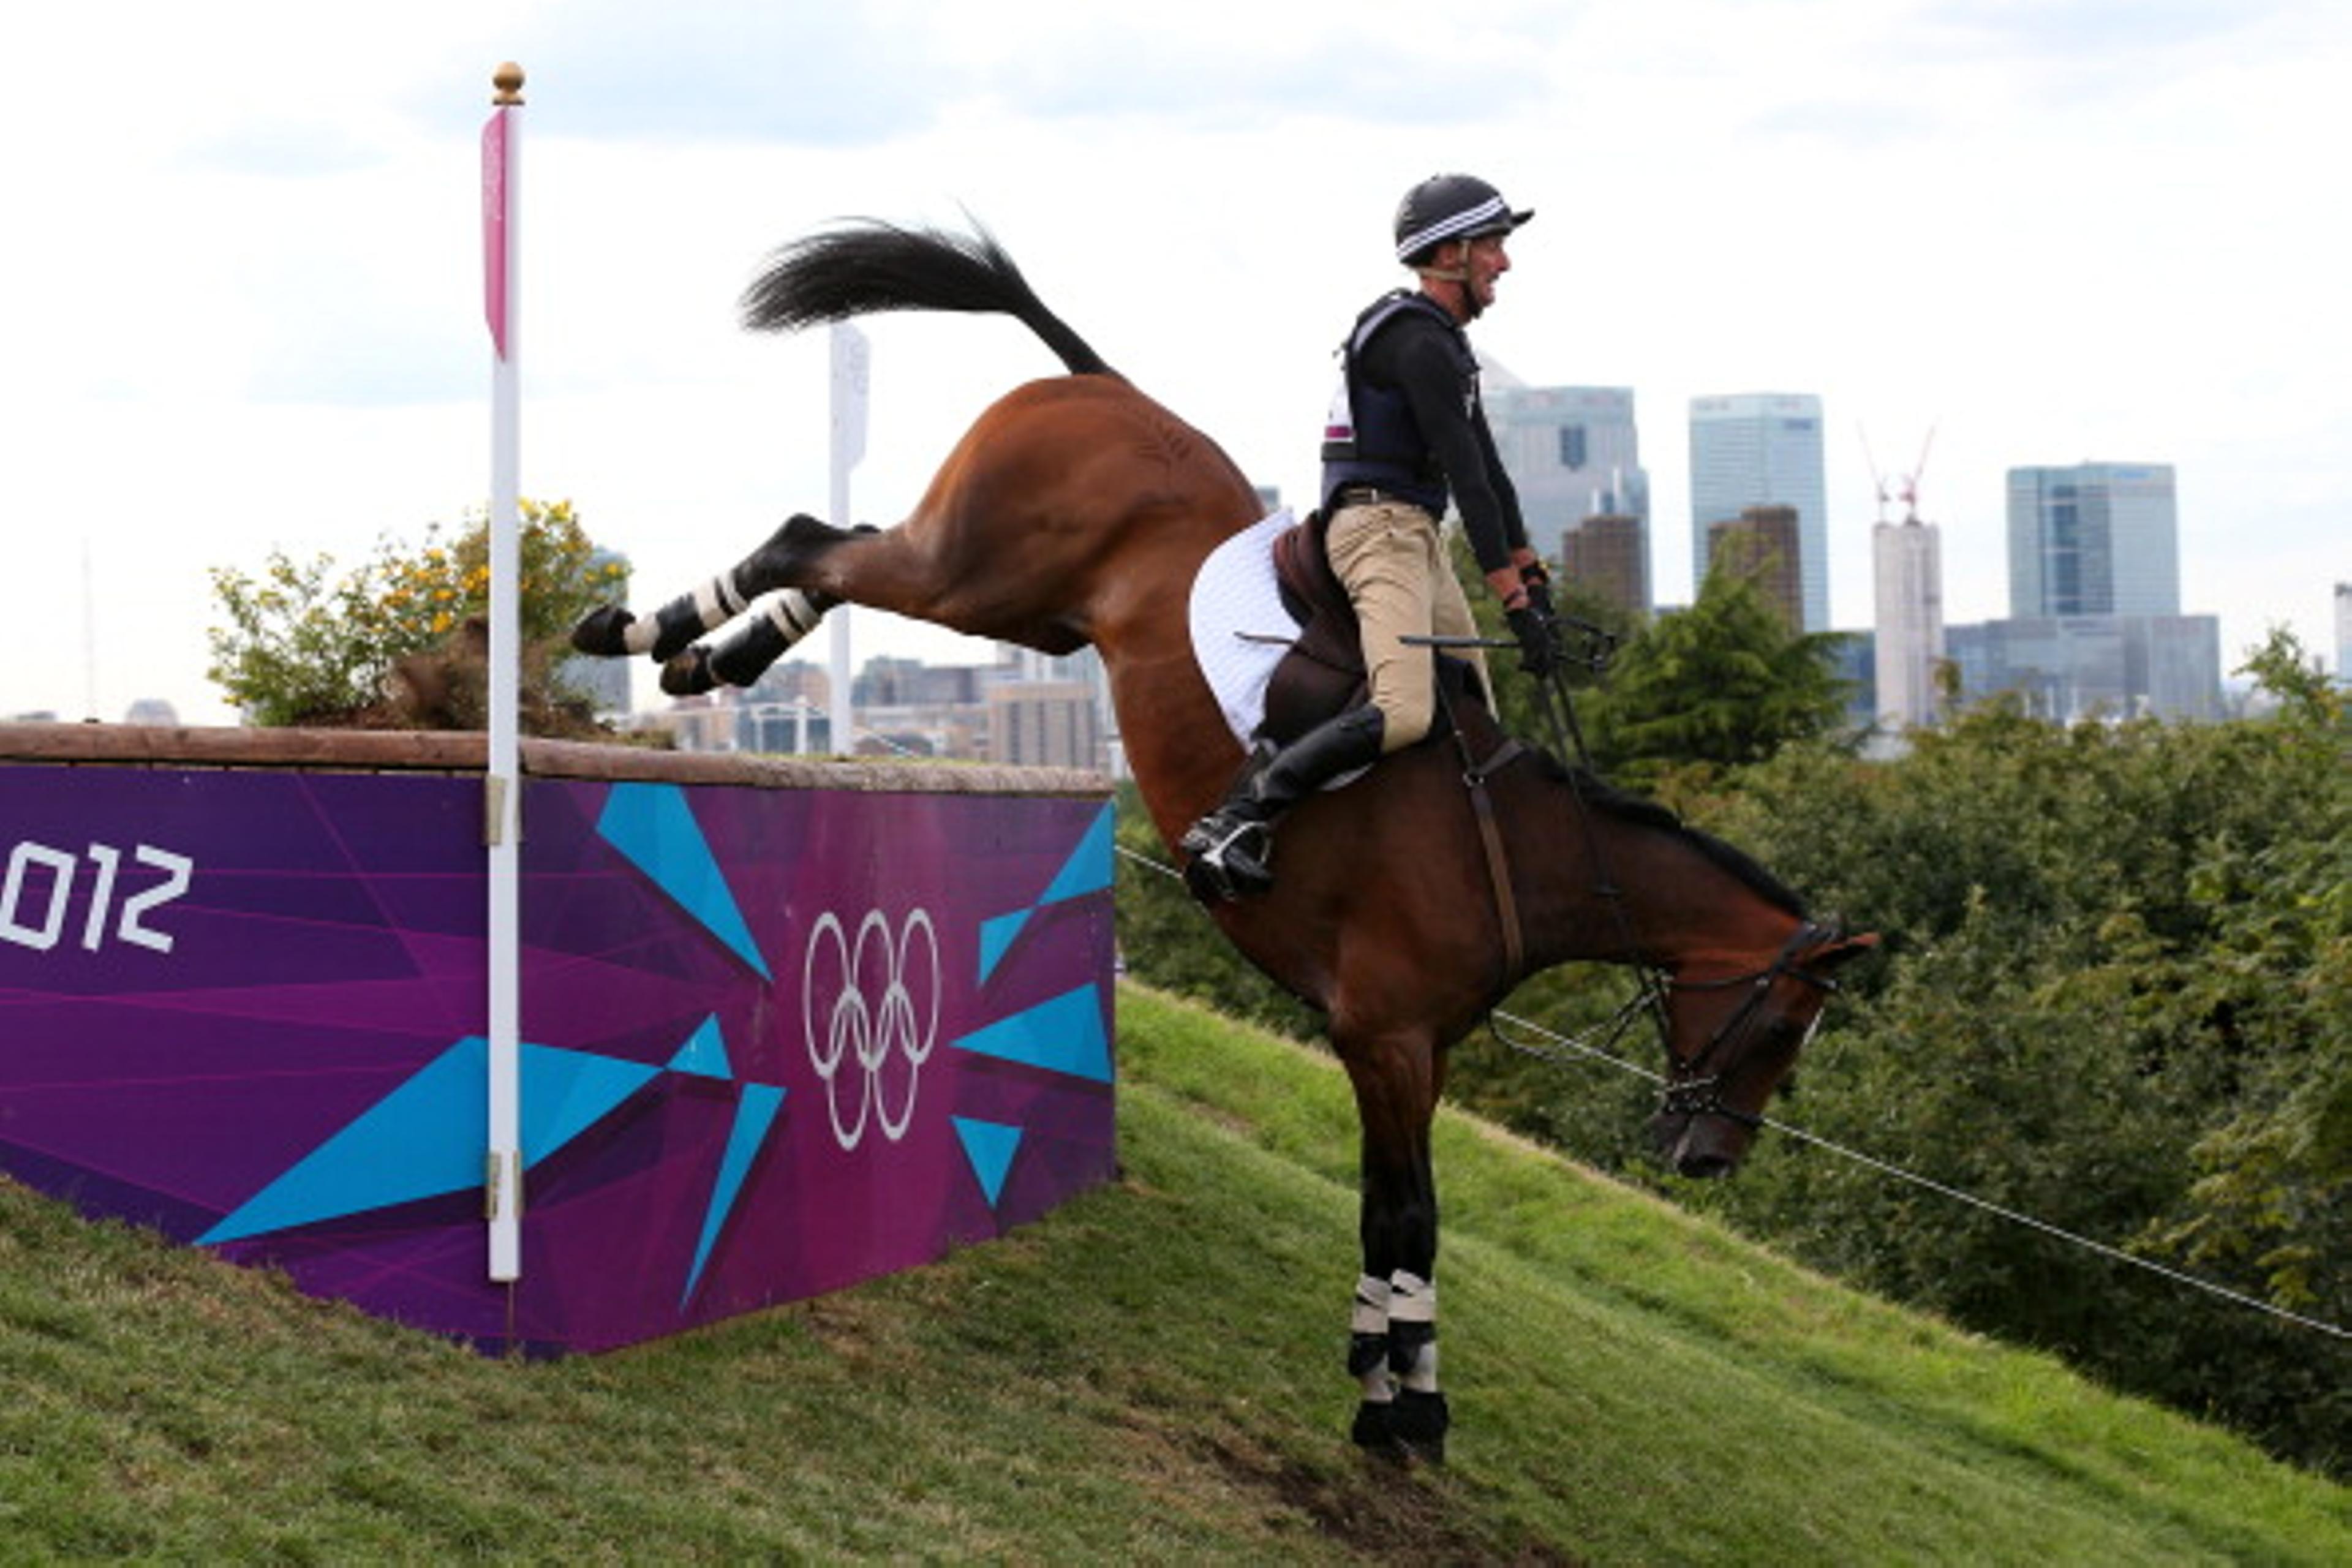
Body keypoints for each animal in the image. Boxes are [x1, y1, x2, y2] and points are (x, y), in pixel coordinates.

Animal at [578, 223, 1882, 1476]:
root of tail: (1102, 385)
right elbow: (1411, 1220)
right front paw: (1407, 1408)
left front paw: (1385, 1381)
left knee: (840, 548)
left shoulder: (1412, 1053)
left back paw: (701, 660)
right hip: (974, 572)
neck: (1518, 848)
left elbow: (1388, 1217)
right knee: (818, 539)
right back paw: (638, 625)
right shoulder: (1385, 1040)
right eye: (1782, 1030)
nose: (1709, 1159)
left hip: (1020, 607)